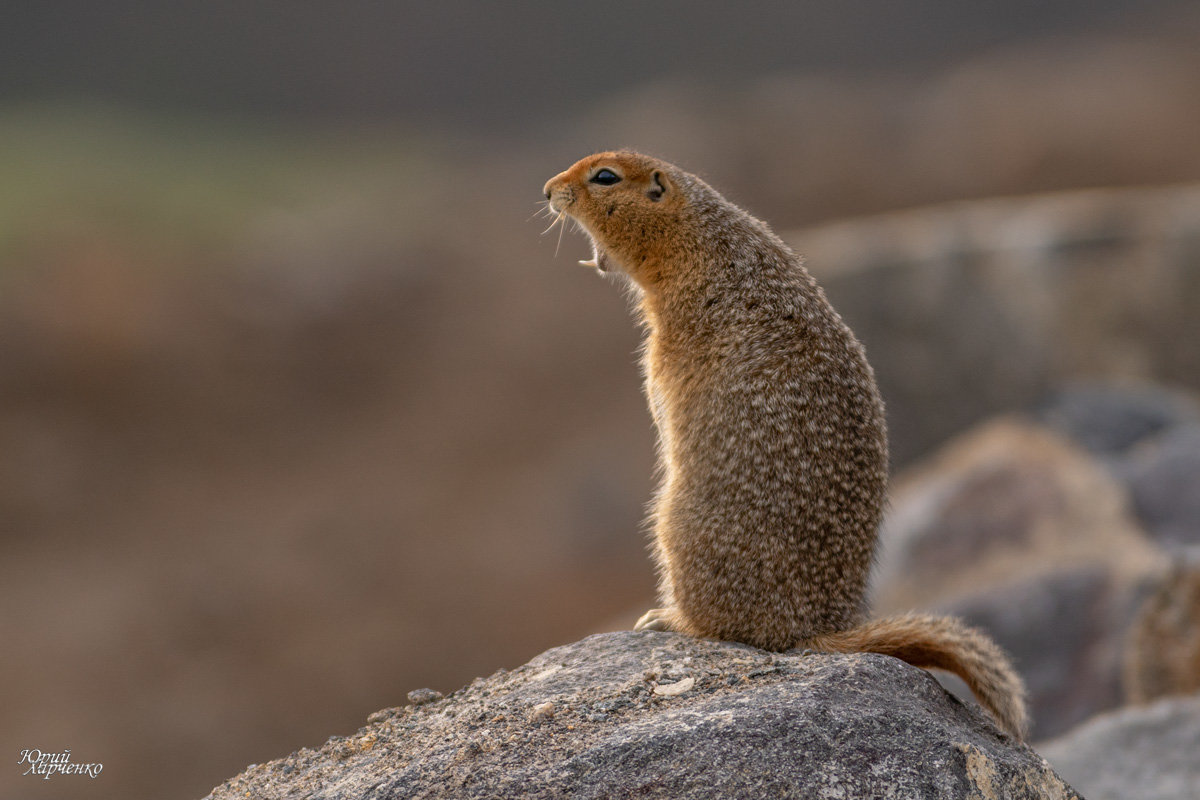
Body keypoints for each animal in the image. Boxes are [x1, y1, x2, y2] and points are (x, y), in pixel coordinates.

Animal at [544, 149, 1032, 738]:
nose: (547, 190)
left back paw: (667, 618)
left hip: (675, 524)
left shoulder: (667, 343)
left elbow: (657, 384)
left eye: (605, 177)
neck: (704, 241)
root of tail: (807, 630)